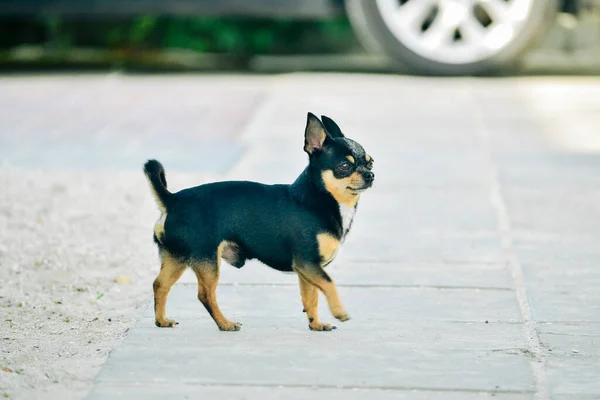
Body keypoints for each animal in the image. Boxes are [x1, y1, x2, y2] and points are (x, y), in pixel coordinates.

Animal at [143, 112, 372, 332]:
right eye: (344, 166)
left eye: (370, 162)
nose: (371, 175)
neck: (320, 199)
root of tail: (172, 200)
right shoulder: (308, 263)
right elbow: (329, 283)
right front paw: (339, 311)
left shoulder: (307, 269)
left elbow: (311, 297)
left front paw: (315, 324)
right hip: (207, 260)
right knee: (205, 295)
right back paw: (225, 324)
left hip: (177, 258)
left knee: (160, 285)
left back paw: (161, 320)